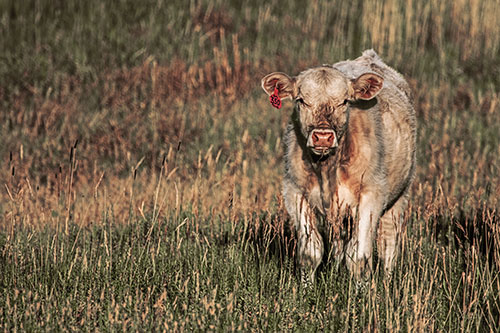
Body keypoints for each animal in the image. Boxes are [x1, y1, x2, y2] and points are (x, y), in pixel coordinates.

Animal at [260, 49, 416, 282]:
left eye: (344, 101)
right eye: (301, 100)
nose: (323, 137)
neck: (327, 169)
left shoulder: (371, 195)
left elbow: (359, 257)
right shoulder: (296, 193)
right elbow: (310, 253)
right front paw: (306, 288)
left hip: (400, 194)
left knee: (388, 242)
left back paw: (388, 281)